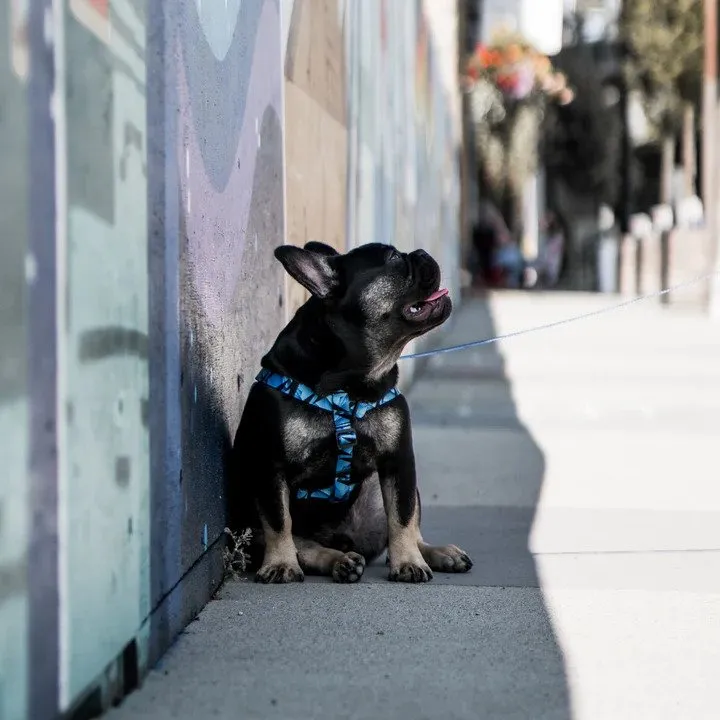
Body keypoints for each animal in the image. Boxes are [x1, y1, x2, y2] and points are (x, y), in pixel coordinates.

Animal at [231, 243, 476, 584]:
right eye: (393, 259)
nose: (421, 253)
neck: (349, 384)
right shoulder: (271, 467)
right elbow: (279, 523)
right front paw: (280, 564)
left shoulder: (398, 462)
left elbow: (402, 517)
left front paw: (408, 561)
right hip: (251, 527)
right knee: (302, 544)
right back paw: (339, 561)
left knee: (408, 524)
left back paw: (435, 553)